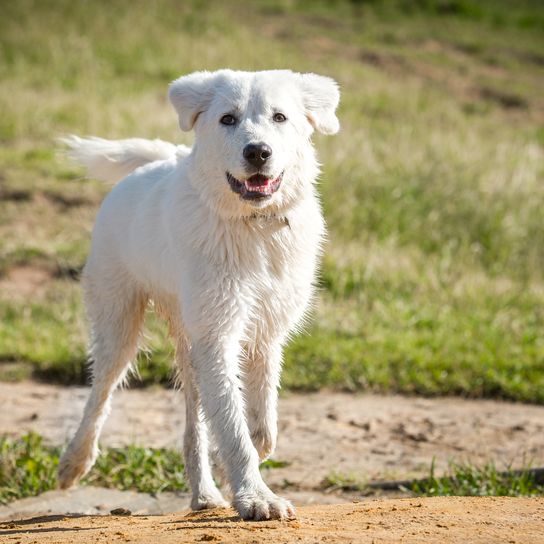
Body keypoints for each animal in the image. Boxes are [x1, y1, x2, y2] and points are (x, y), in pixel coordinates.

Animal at [59, 70, 340, 520]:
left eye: (279, 117)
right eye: (228, 119)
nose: (258, 152)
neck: (254, 227)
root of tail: (159, 159)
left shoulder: (266, 332)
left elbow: (259, 416)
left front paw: (251, 456)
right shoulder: (216, 335)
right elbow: (232, 426)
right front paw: (256, 497)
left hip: (188, 345)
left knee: (195, 428)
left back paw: (204, 495)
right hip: (119, 325)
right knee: (99, 395)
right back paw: (74, 462)